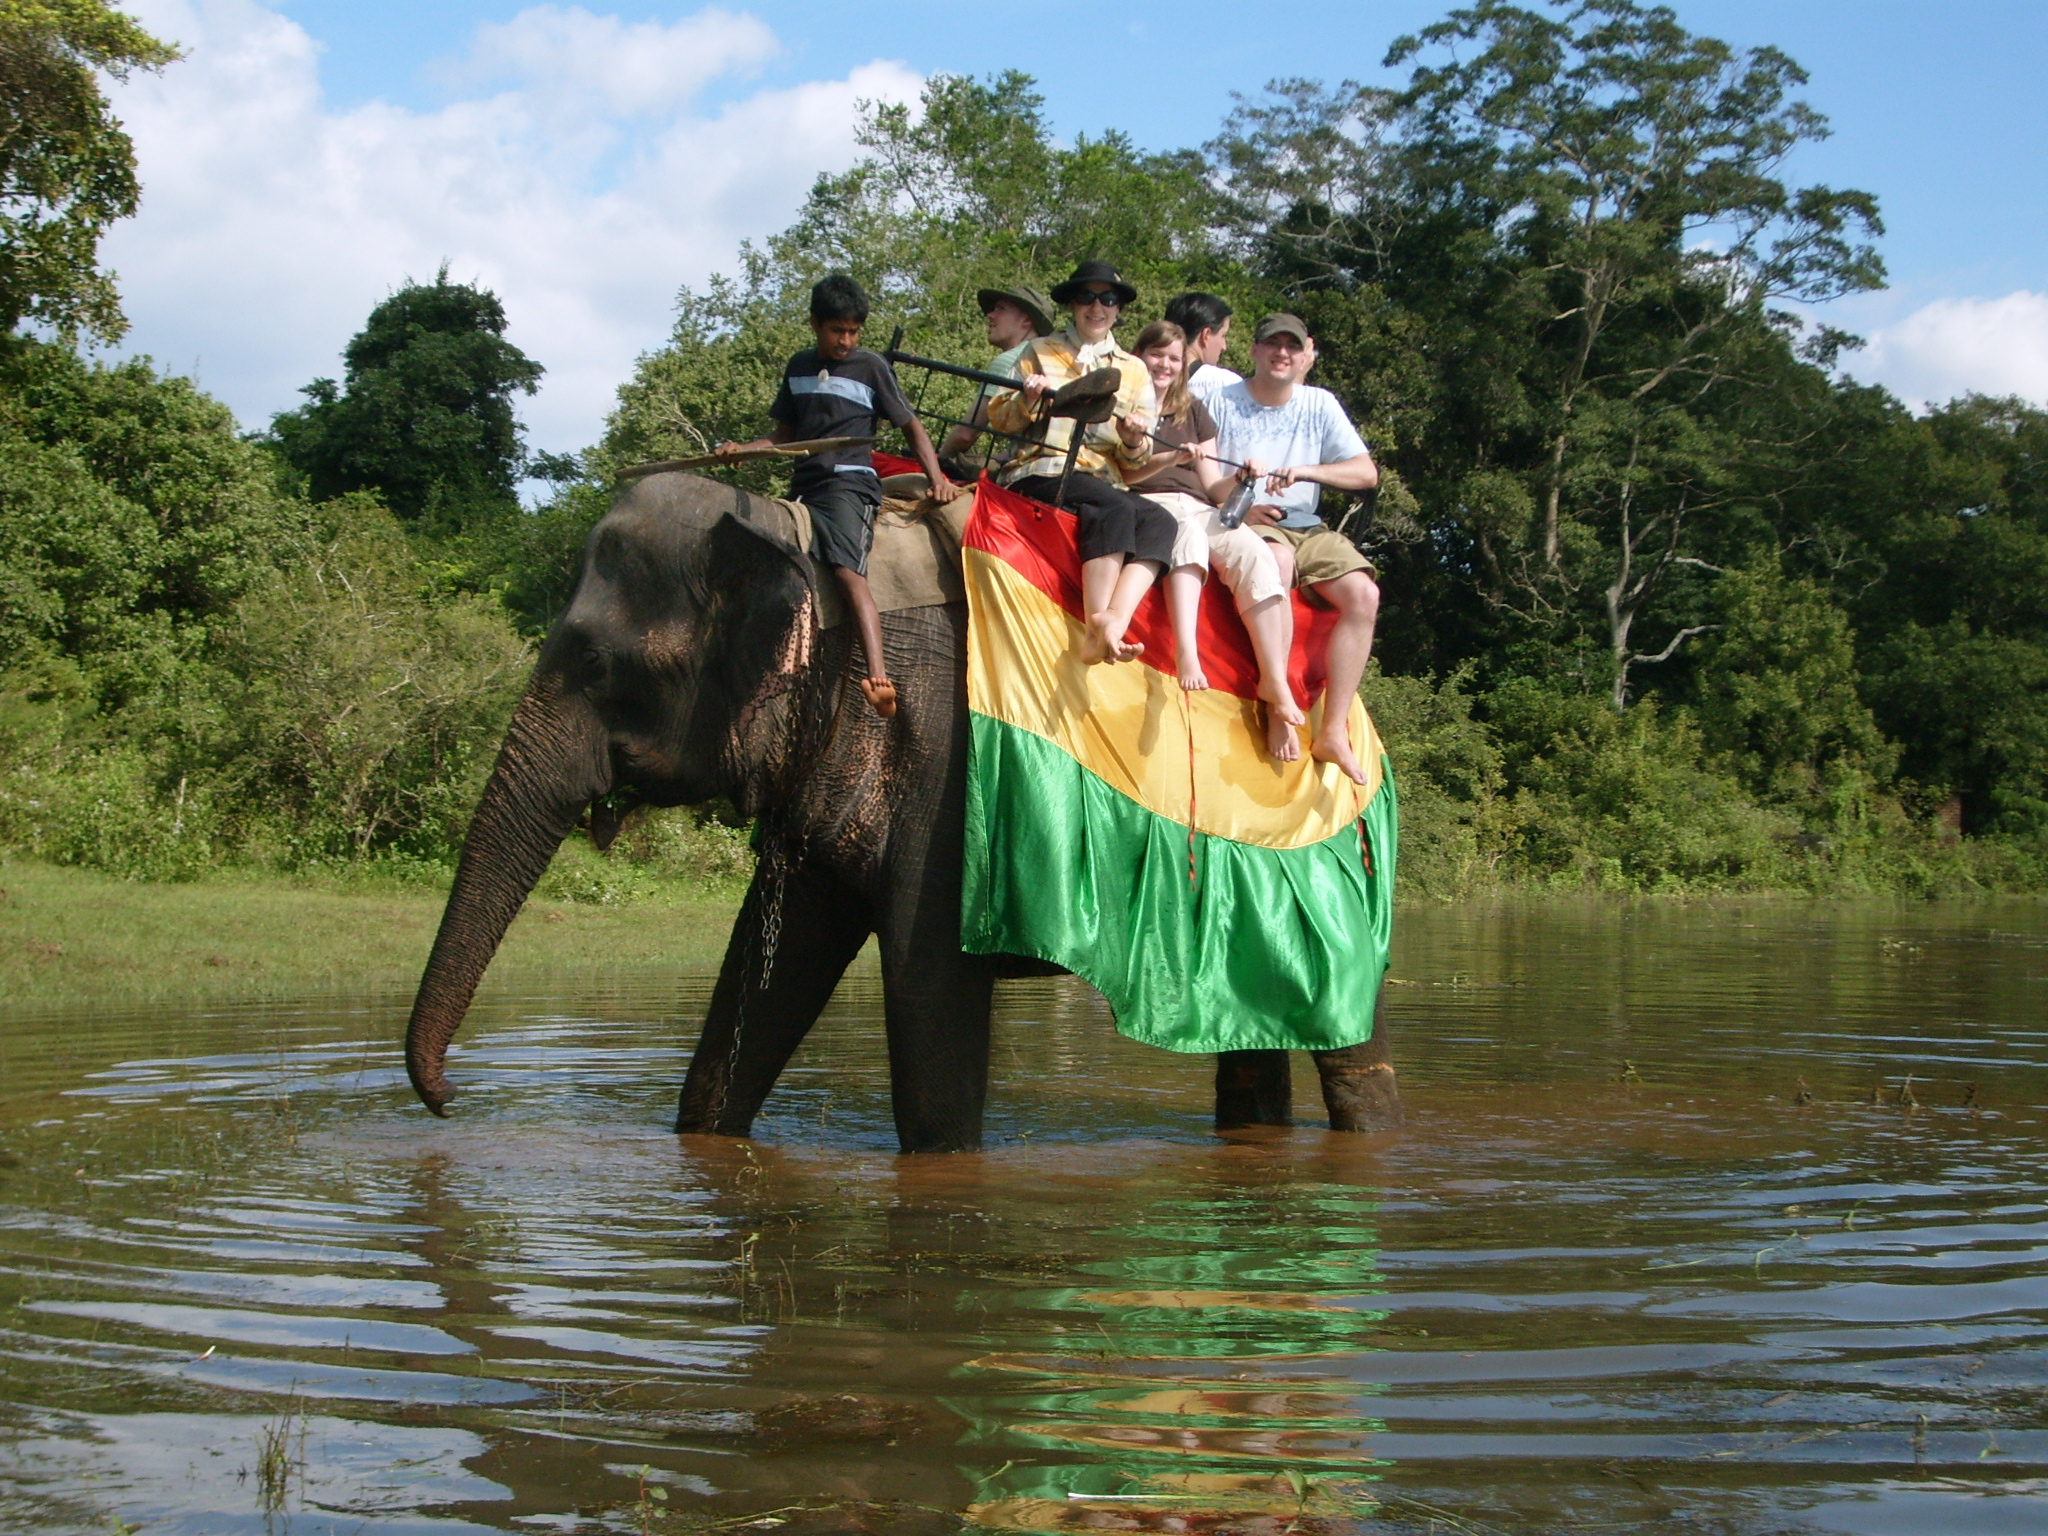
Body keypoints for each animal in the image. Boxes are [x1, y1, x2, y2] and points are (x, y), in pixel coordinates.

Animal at [401, 475, 1400, 1146]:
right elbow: (769, 973)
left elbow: (930, 1000)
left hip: (1332, 841)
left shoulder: (947, 763)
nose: (449, 1101)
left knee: (1347, 1030)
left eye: (600, 667)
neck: (798, 537)